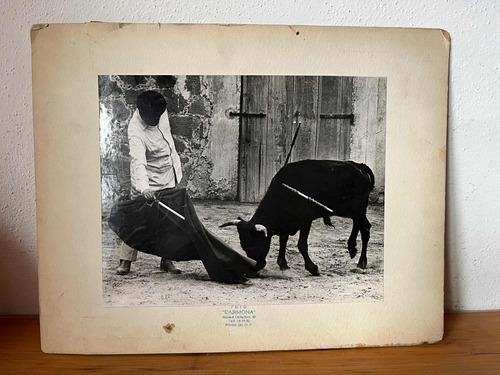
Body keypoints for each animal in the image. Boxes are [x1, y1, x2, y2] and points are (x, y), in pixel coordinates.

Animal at [221, 159, 374, 276]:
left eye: (255, 244)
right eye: (244, 246)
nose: (255, 267)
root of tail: (359, 166)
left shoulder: (306, 220)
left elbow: (301, 244)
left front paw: (313, 268)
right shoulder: (285, 223)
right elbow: (283, 240)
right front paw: (283, 264)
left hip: (357, 209)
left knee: (365, 229)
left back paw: (361, 262)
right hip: (351, 211)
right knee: (358, 224)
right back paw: (352, 248)